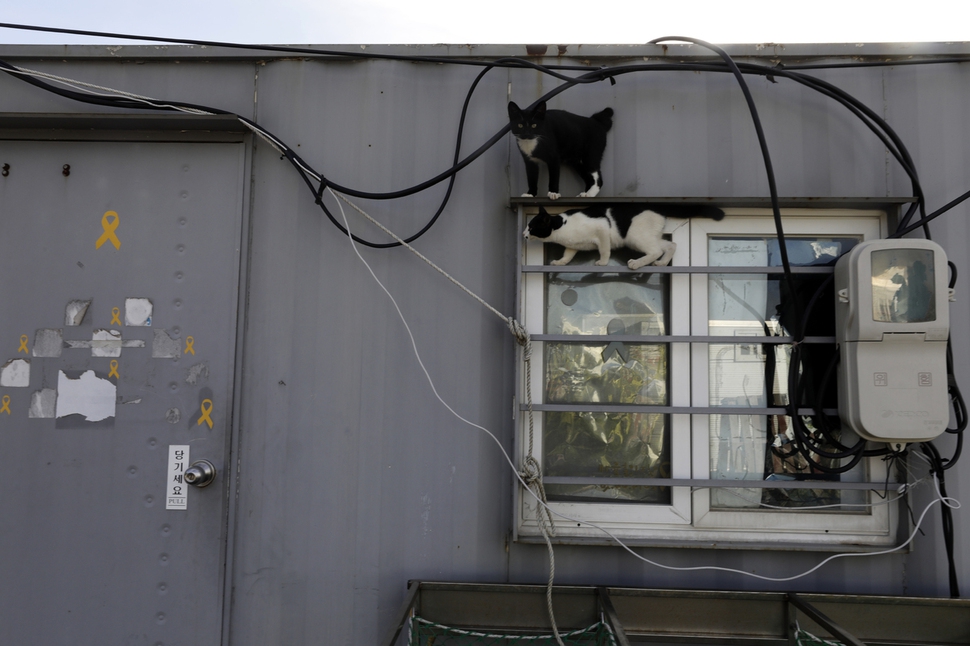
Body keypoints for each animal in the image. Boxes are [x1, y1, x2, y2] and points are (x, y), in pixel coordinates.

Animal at [524, 205, 724, 270]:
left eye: (531, 227)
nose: (524, 234)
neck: (562, 227)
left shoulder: (602, 227)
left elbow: (604, 249)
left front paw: (603, 262)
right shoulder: (573, 245)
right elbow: (568, 255)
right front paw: (560, 262)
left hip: (634, 237)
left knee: (655, 250)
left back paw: (636, 263)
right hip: (647, 236)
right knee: (671, 244)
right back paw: (661, 263)